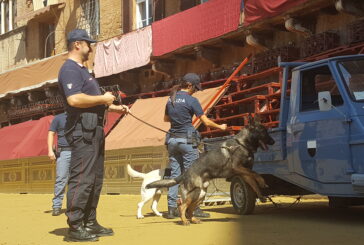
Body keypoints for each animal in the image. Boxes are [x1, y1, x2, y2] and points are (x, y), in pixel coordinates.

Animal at [146, 117, 274, 226]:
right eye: (263, 131)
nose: (273, 141)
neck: (242, 144)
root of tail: (185, 173)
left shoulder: (244, 172)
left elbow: (253, 182)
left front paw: (261, 194)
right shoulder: (237, 167)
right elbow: (256, 175)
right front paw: (262, 182)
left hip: (202, 193)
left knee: (190, 209)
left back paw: (194, 220)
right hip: (196, 192)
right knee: (182, 206)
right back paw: (184, 221)